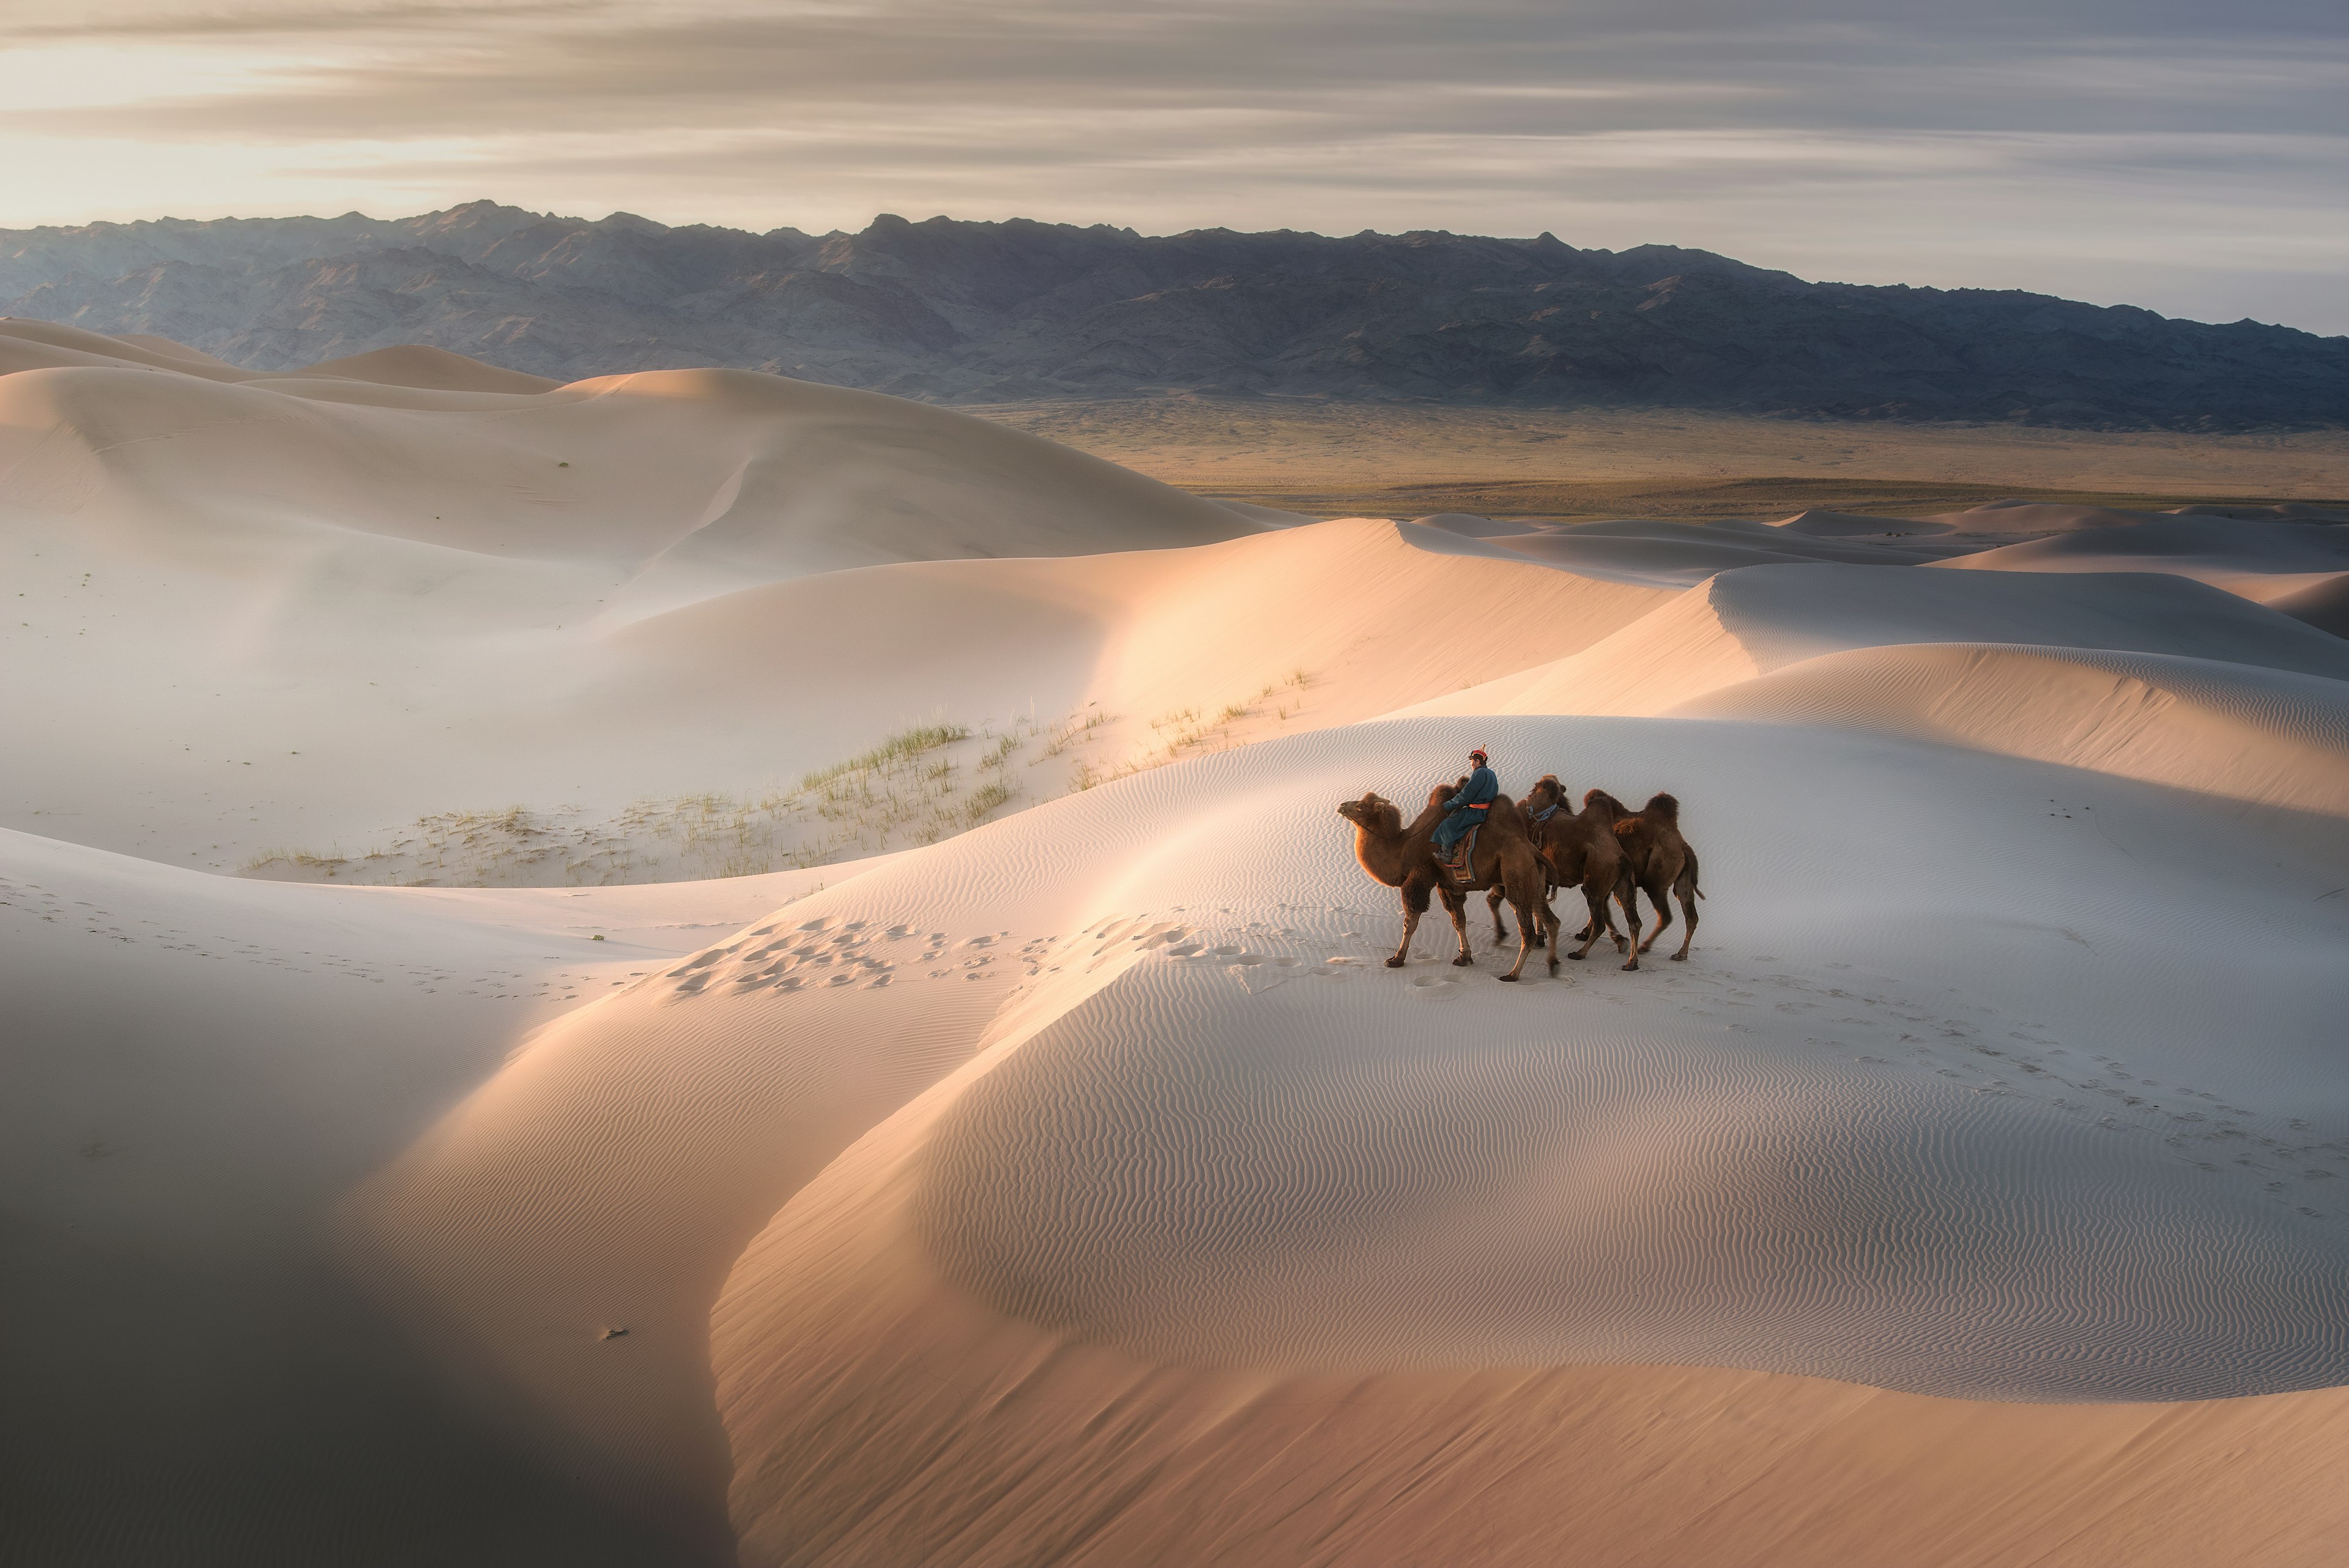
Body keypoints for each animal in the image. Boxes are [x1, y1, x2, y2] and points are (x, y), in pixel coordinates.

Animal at [1343, 785, 1559, 983]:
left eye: (1361, 806)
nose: (1342, 805)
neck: (1403, 848)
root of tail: (1533, 850)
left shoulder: (1420, 875)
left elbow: (1411, 921)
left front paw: (1396, 959)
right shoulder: (1447, 885)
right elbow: (1458, 920)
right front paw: (1464, 957)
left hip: (1516, 874)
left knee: (1527, 929)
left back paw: (1512, 974)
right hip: (1535, 884)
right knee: (1551, 920)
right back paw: (1553, 965)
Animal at [1494, 771, 1644, 968]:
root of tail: (1621, 857)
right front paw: (1541, 939)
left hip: (1596, 879)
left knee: (1600, 921)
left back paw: (1580, 953)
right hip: (1623, 885)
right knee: (1634, 921)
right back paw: (1631, 962)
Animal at [1587, 790, 1701, 964]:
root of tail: (1684, 847)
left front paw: (1618, 940)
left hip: (1656, 882)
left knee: (1665, 915)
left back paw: (1644, 947)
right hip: (1684, 878)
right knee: (1690, 915)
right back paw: (1680, 954)